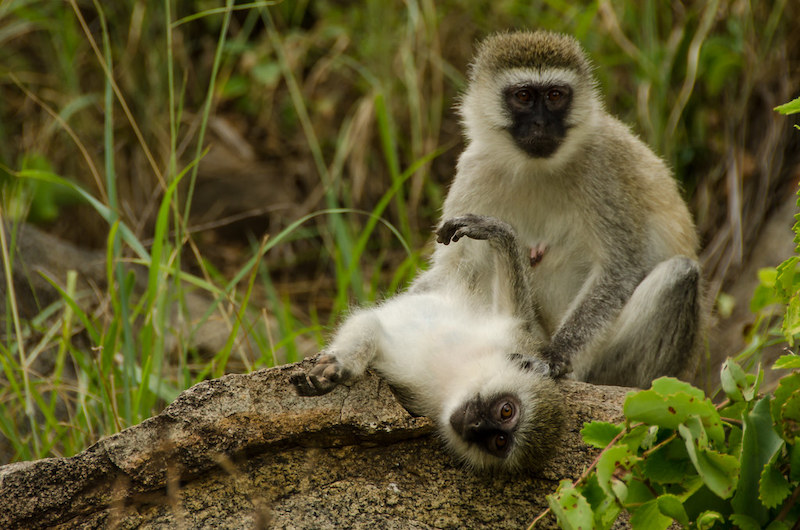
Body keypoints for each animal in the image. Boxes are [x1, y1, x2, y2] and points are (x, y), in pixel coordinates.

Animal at [292, 214, 563, 471]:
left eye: (498, 441)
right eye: (506, 410)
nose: (474, 425)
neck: (458, 375)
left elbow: (370, 325)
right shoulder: (511, 335)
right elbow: (515, 308)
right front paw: (496, 232)